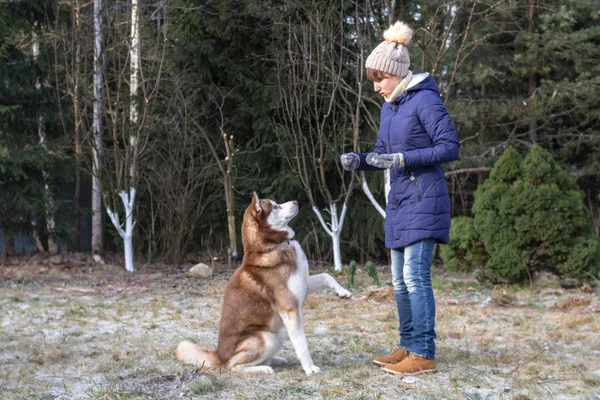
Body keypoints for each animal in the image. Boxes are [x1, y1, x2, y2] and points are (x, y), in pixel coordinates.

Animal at [175, 192, 352, 374]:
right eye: (275, 206)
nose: (296, 201)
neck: (273, 247)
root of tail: (219, 355)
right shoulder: (290, 310)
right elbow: (302, 344)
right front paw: (310, 368)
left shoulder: (303, 285)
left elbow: (326, 276)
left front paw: (343, 292)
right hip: (265, 337)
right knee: (233, 366)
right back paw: (263, 369)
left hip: (278, 334)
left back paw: (275, 360)